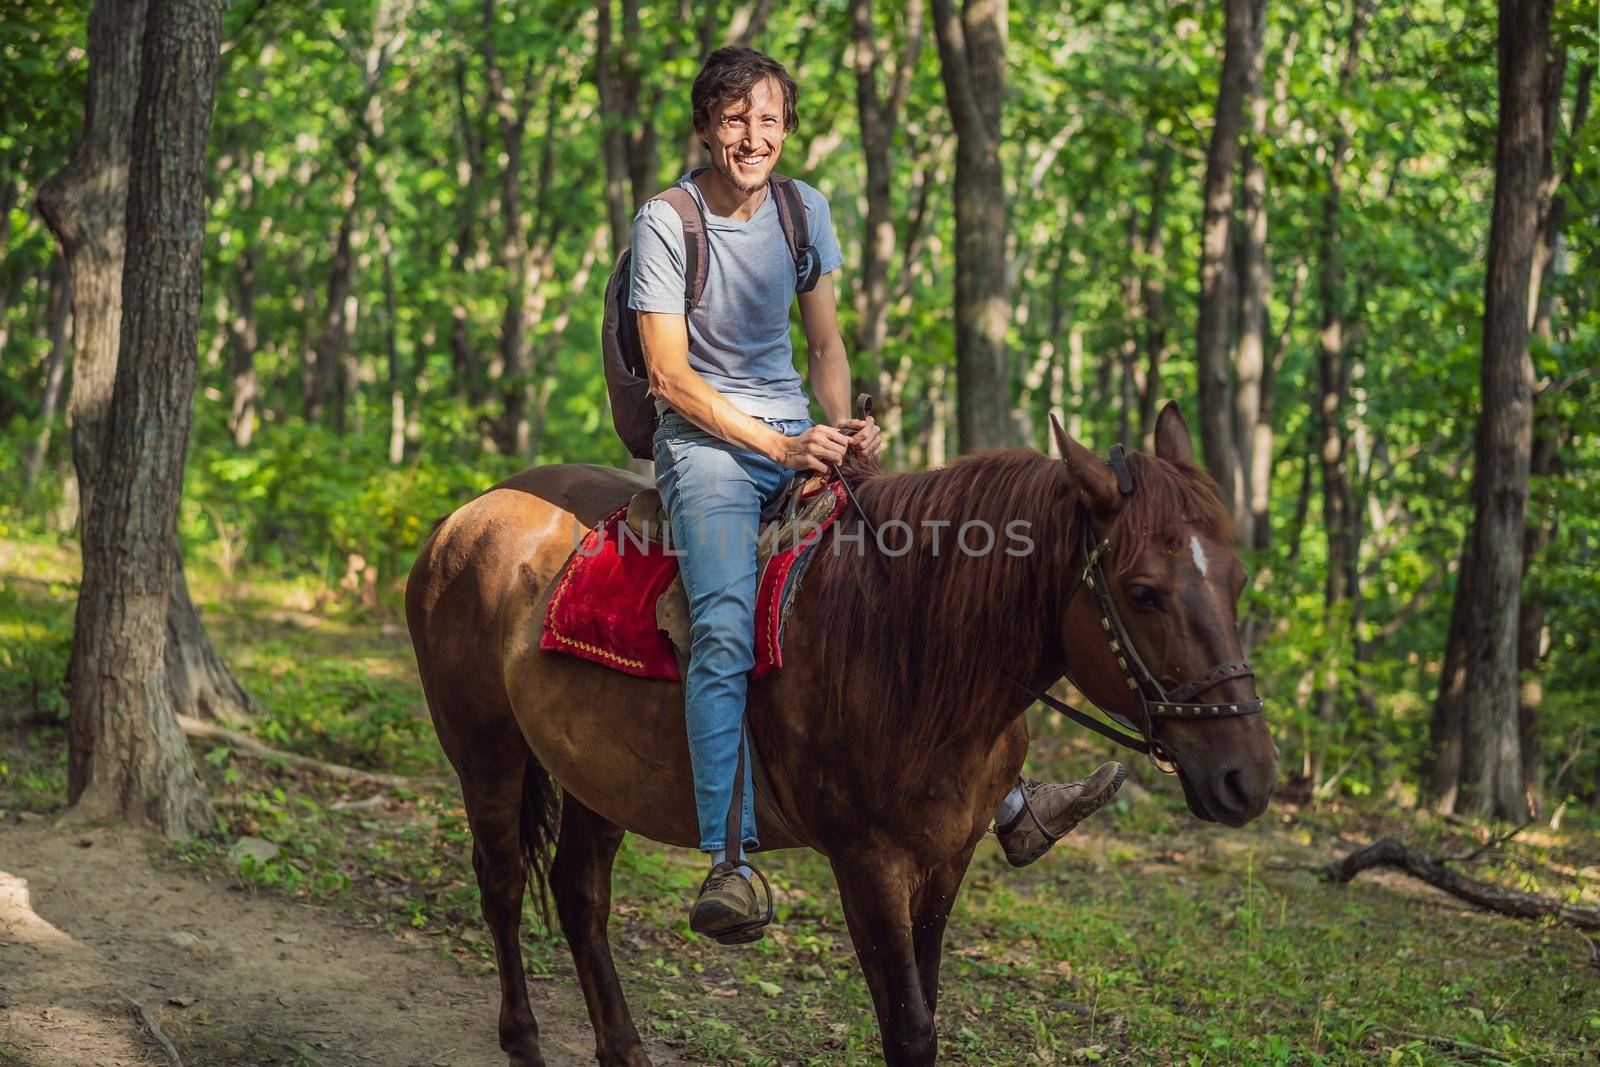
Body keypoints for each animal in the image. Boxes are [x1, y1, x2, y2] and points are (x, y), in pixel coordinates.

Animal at [406, 403, 1280, 1067]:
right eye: (1143, 591)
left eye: (1238, 579)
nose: (1249, 778)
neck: (908, 637)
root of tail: (464, 517)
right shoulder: (867, 861)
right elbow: (909, 1030)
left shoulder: (947, 856)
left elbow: (926, 1009)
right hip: (485, 751)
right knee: (502, 883)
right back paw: (522, 1040)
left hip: (594, 774)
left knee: (580, 894)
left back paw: (623, 1049)